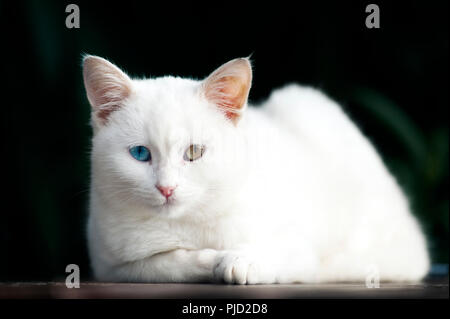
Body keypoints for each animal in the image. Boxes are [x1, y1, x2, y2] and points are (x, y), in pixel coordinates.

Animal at [82, 55, 430, 284]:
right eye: (140, 154)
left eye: (194, 152)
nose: (166, 188)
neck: (189, 221)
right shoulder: (116, 266)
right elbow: (173, 261)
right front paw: (212, 260)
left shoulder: (299, 248)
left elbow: (273, 251)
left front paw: (241, 261)